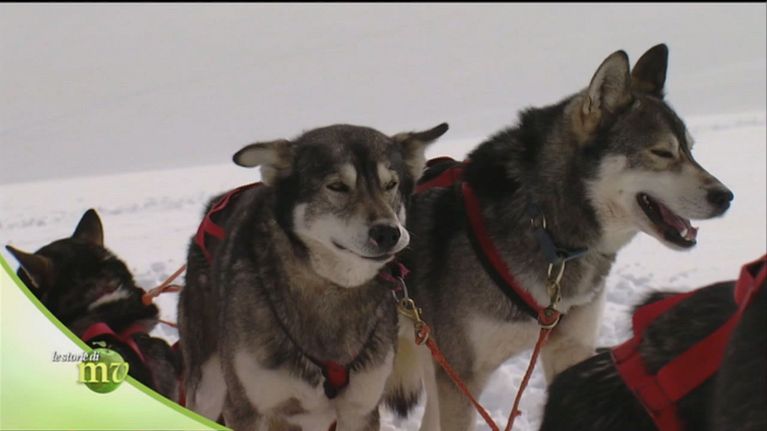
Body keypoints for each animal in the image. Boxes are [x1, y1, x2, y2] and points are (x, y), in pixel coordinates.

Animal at [178, 123, 448, 430]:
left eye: (391, 185)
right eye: (337, 186)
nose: (388, 233)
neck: (331, 291)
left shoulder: (360, 409)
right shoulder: (246, 409)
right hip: (208, 387)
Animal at [385, 44, 734, 430]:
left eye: (691, 149)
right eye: (662, 152)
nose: (725, 196)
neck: (549, 232)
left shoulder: (570, 351)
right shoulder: (461, 379)